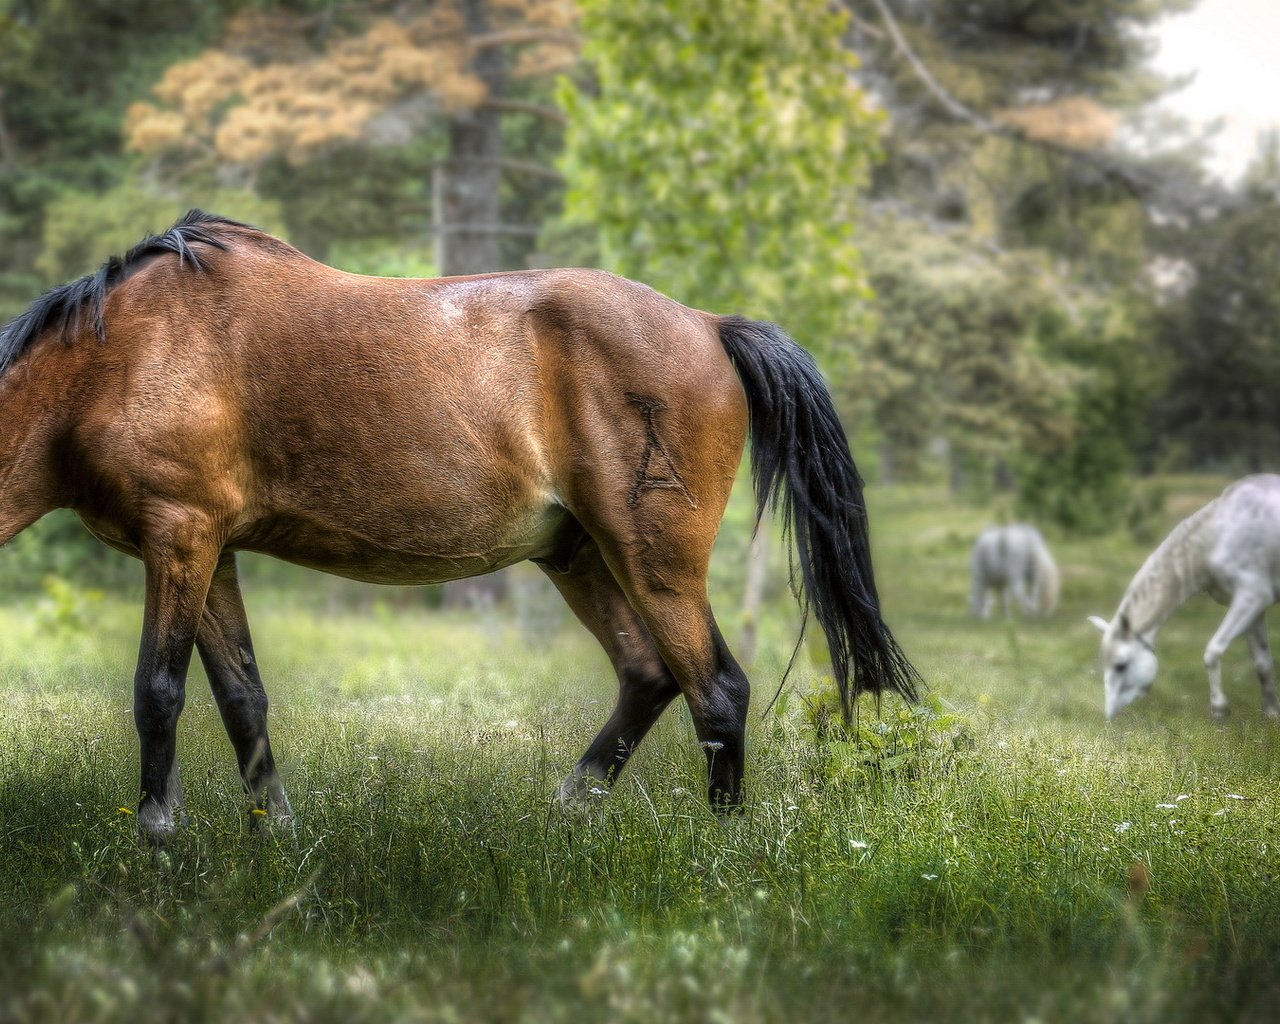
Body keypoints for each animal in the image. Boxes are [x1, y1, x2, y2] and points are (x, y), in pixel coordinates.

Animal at [0, 209, 921, 839]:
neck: (116, 355)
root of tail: (710, 326)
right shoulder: (210, 551)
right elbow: (242, 699)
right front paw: (277, 837)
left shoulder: (179, 536)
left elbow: (158, 691)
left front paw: (159, 840)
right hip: (576, 554)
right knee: (648, 675)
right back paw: (565, 812)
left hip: (651, 559)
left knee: (717, 691)